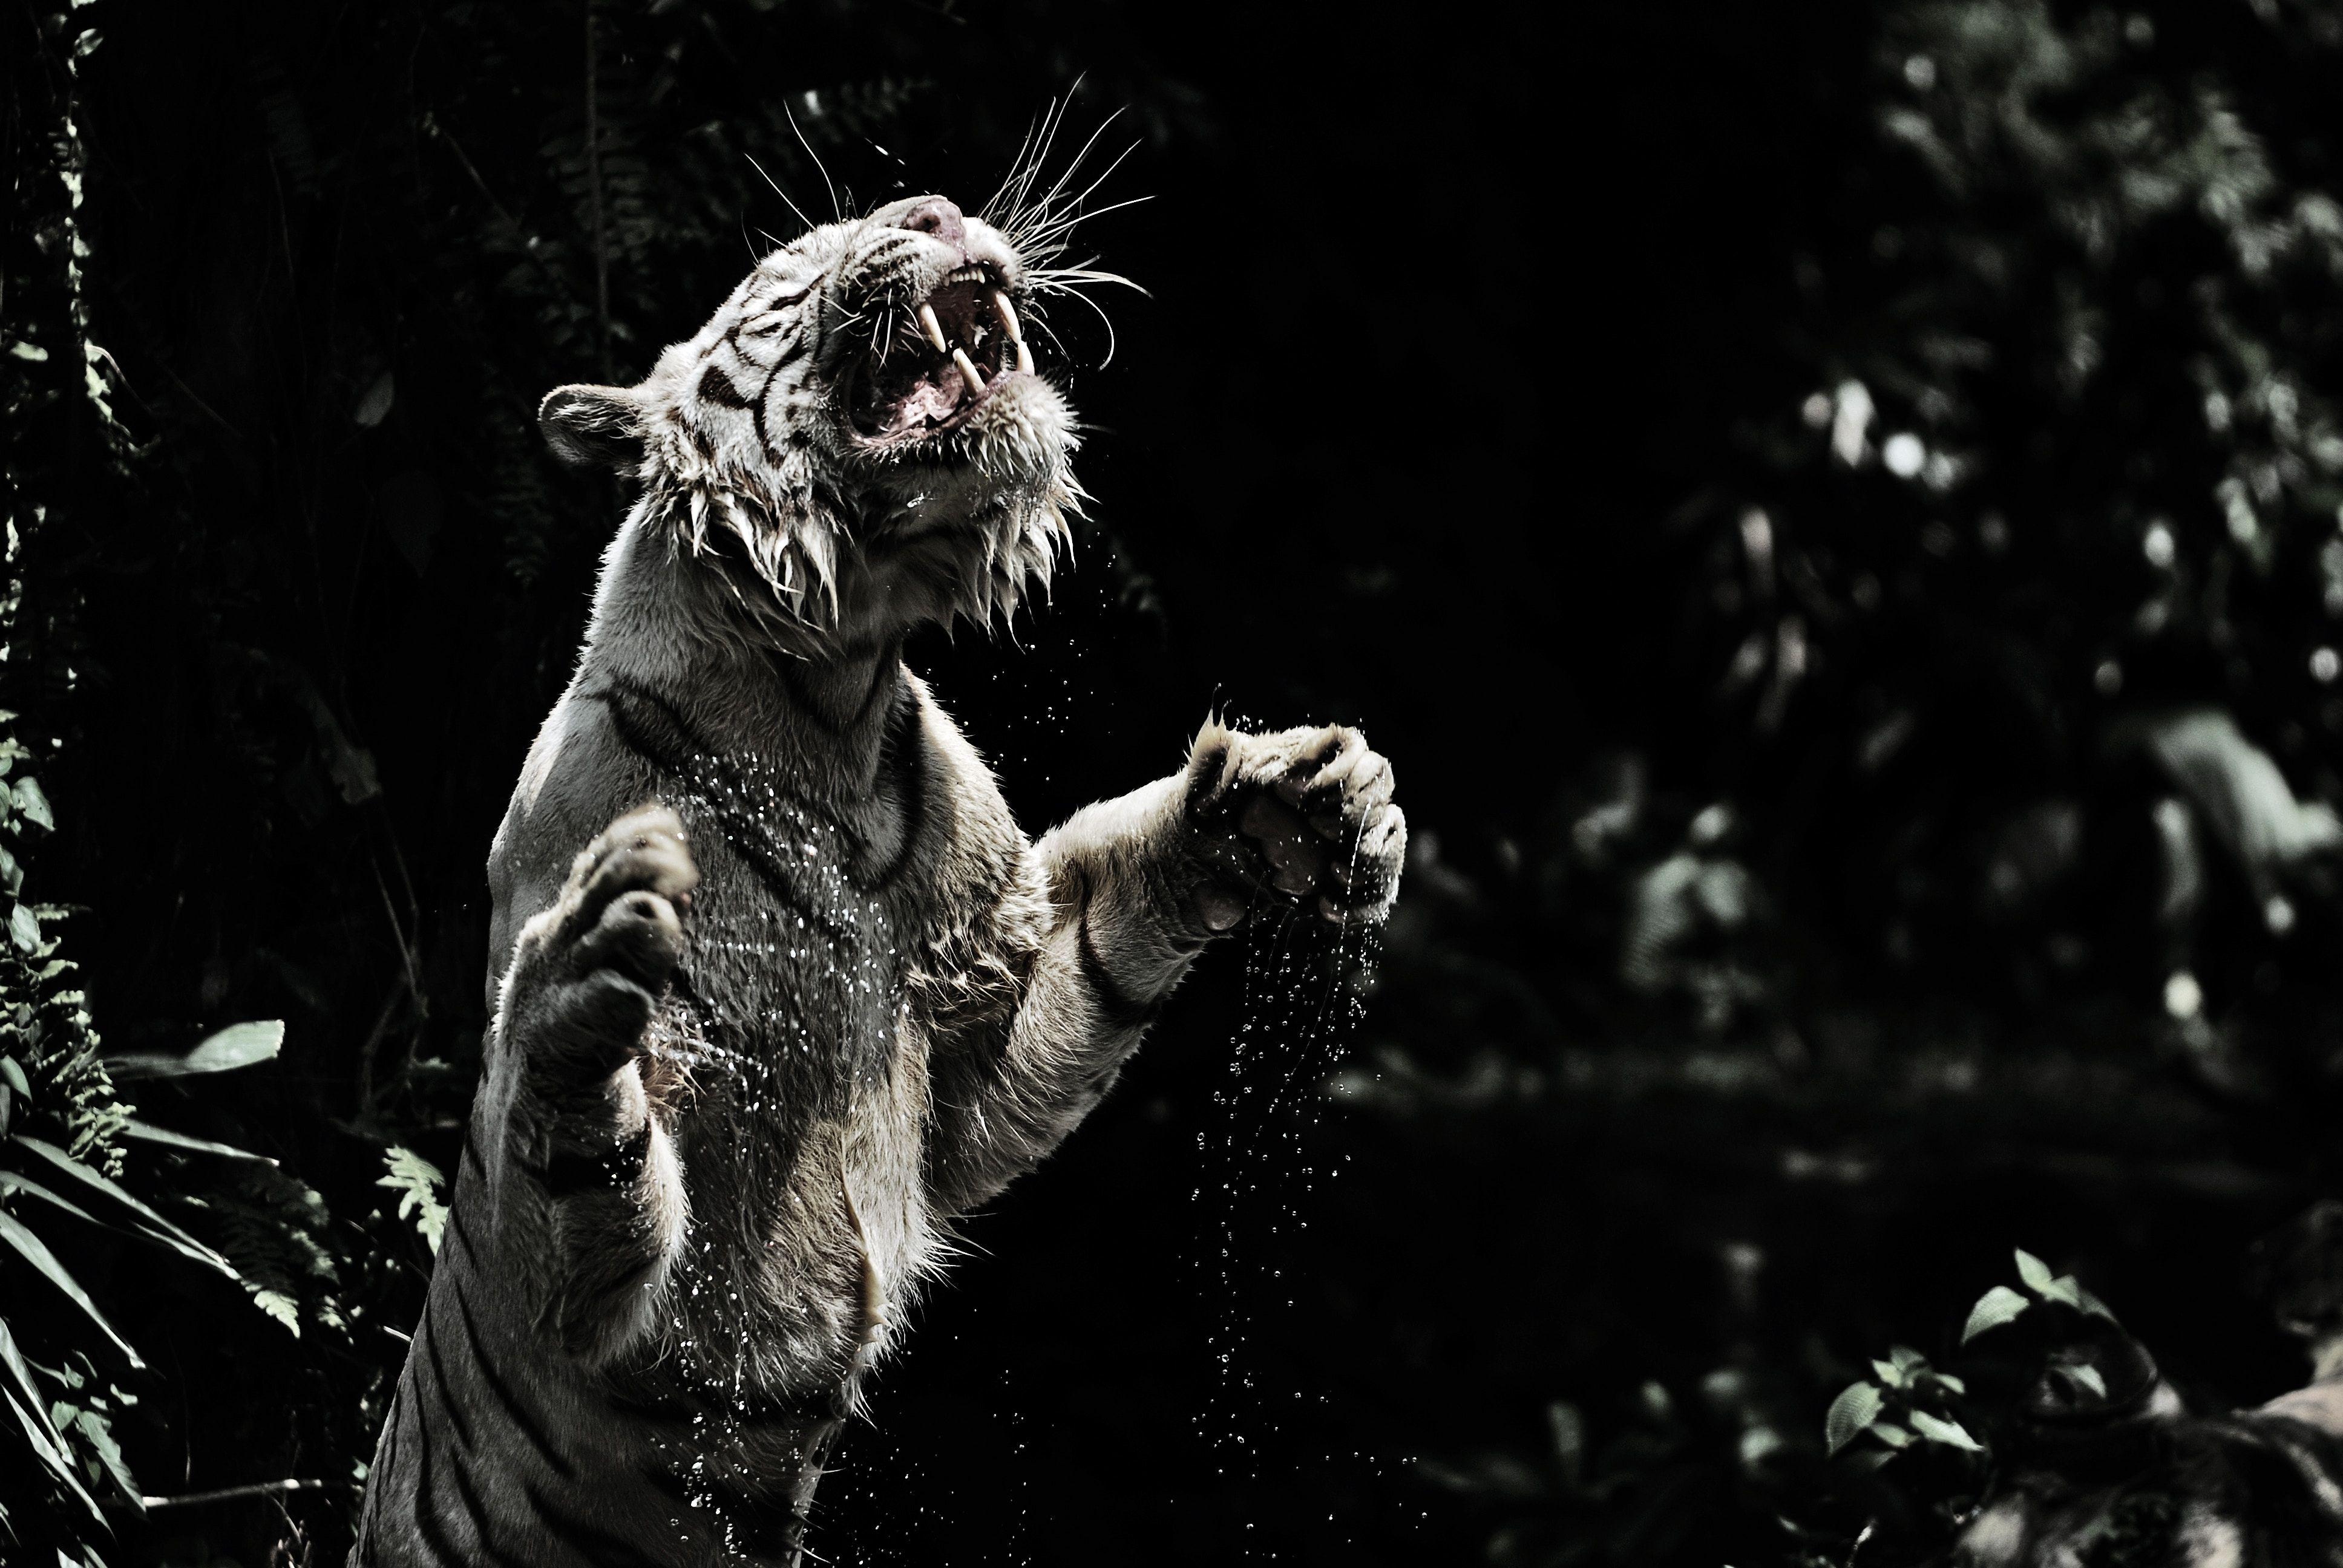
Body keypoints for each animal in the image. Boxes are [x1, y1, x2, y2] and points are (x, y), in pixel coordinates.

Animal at [348, 190, 1406, 1567]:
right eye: (788, 261)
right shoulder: (614, 1291)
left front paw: (1303, 801)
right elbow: (574, 1160)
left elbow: (1106, 935)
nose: (939, 208)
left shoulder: (977, 1024)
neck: (831, 703)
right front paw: (587, 966)